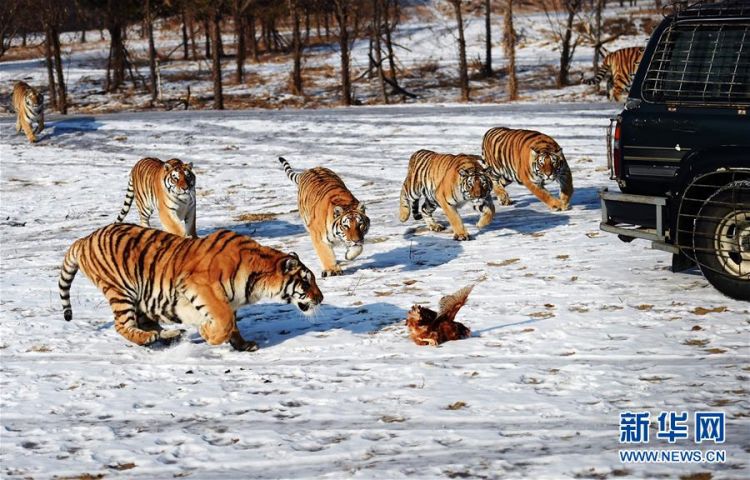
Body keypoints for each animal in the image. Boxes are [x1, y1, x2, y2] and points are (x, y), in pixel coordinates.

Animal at [58, 223, 324, 350]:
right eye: (306, 281)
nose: (320, 298)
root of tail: (84, 239)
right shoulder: (202, 286)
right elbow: (225, 321)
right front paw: (207, 332)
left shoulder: (230, 301)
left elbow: (232, 325)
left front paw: (243, 345)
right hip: (121, 290)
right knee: (122, 325)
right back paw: (151, 338)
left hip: (141, 298)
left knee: (146, 323)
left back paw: (169, 335)